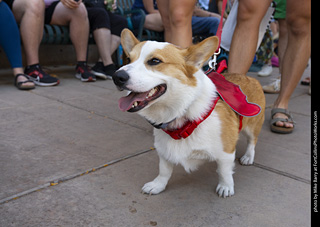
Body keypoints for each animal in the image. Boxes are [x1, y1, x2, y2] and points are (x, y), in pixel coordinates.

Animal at [112, 29, 264, 198]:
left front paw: (226, 187)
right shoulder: (164, 150)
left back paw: (248, 157)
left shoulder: (226, 152)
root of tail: (249, 77)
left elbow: (224, 172)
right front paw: (157, 185)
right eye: (128, 59)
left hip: (253, 126)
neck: (181, 112)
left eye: (155, 61)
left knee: (252, 141)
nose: (117, 76)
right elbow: (164, 170)